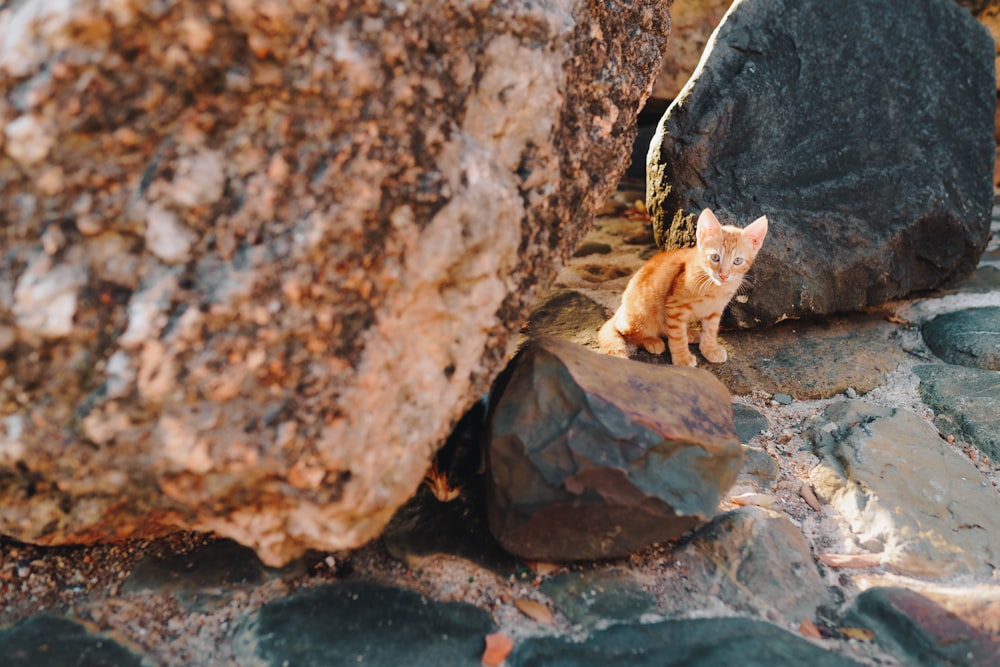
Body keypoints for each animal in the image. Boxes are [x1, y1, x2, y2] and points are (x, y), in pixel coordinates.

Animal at [596, 209, 768, 366]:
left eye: (737, 261)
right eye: (715, 257)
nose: (724, 275)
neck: (713, 286)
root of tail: (620, 311)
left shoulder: (715, 310)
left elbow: (710, 330)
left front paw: (709, 349)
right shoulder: (675, 306)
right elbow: (678, 336)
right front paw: (682, 358)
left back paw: (691, 334)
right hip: (642, 313)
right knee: (627, 331)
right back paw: (652, 341)